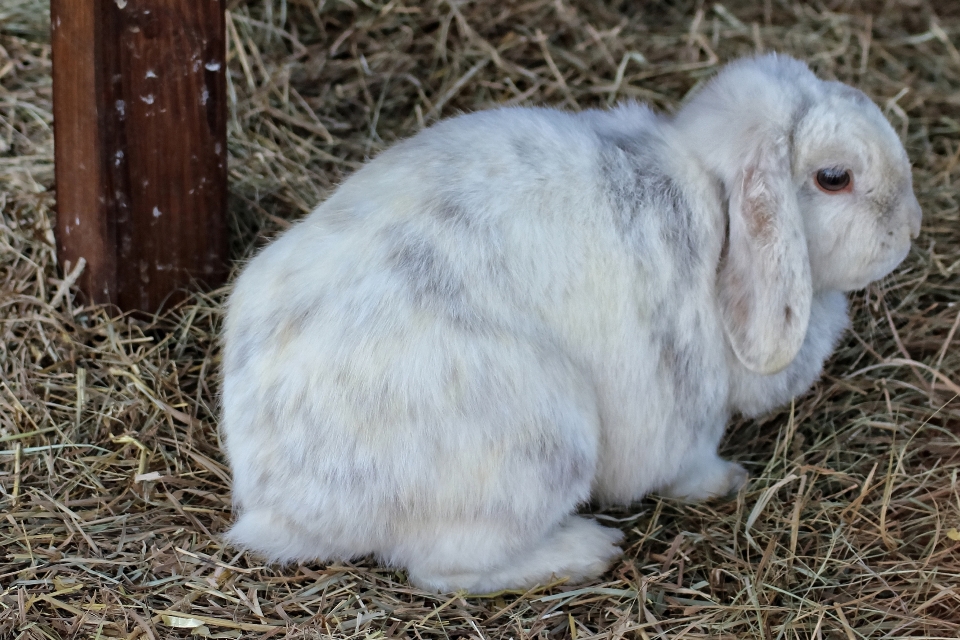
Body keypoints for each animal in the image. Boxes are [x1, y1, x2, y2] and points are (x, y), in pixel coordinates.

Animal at [219, 52, 924, 592]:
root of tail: (278, 499)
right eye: (833, 177)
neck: (713, 198)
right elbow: (688, 463)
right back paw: (587, 550)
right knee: (446, 568)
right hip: (542, 442)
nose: (912, 226)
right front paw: (725, 482)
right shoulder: (684, 407)